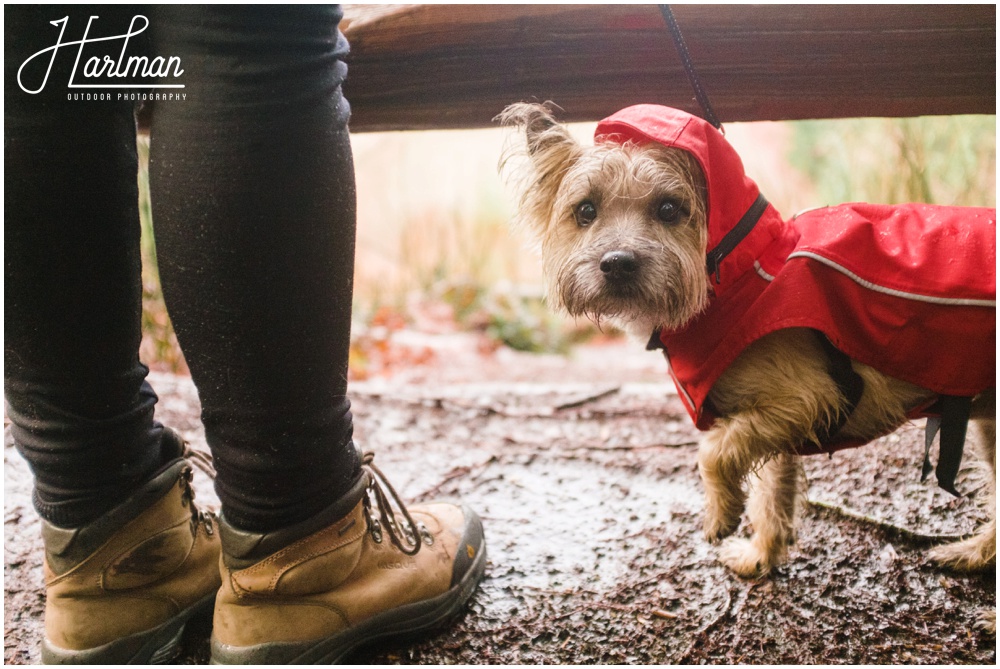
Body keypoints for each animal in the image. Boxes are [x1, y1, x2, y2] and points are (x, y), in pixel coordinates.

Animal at [504, 103, 996, 628]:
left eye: (669, 209)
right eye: (586, 211)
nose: (617, 263)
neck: (734, 281)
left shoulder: (804, 397)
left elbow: (713, 453)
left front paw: (721, 514)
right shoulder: (777, 424)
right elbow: (771, 495)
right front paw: (761, 554)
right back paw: (972, 554)